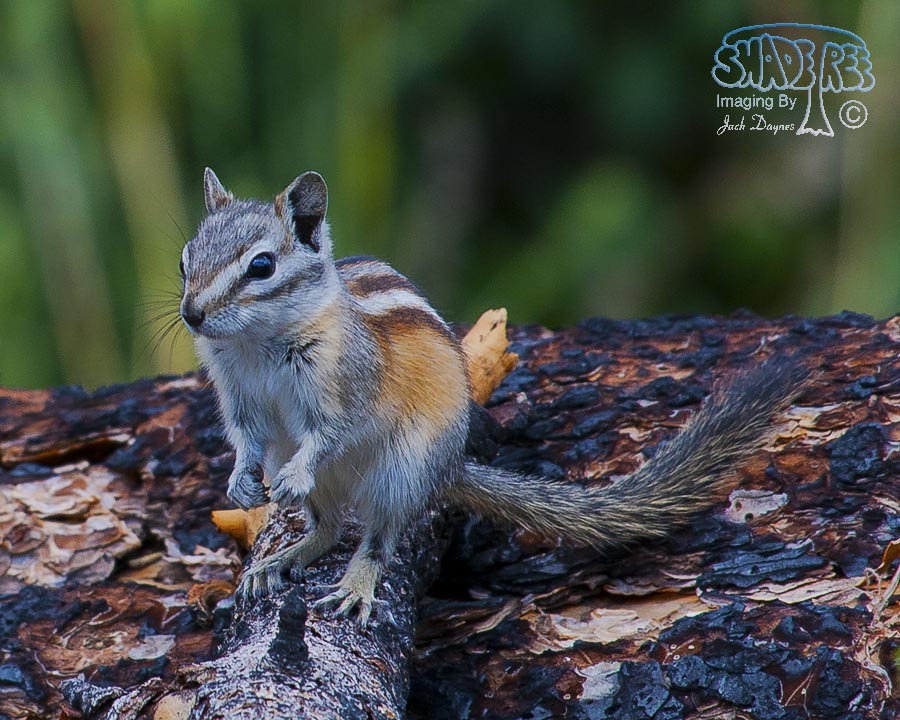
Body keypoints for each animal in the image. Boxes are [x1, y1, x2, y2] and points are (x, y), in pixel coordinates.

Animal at [179, 168, 799, 626]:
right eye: (186, 258)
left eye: (262, 266)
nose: (191, 314)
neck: (258, 343)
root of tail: (450, 466)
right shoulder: (240, 399)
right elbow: (246, 437)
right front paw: (241, 482)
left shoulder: (347, 385)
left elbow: (330, 433)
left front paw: (294, 474)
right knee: (328, 528)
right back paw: (279, 560)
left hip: (400, 471)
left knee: (378, 538)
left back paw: (355, 582)